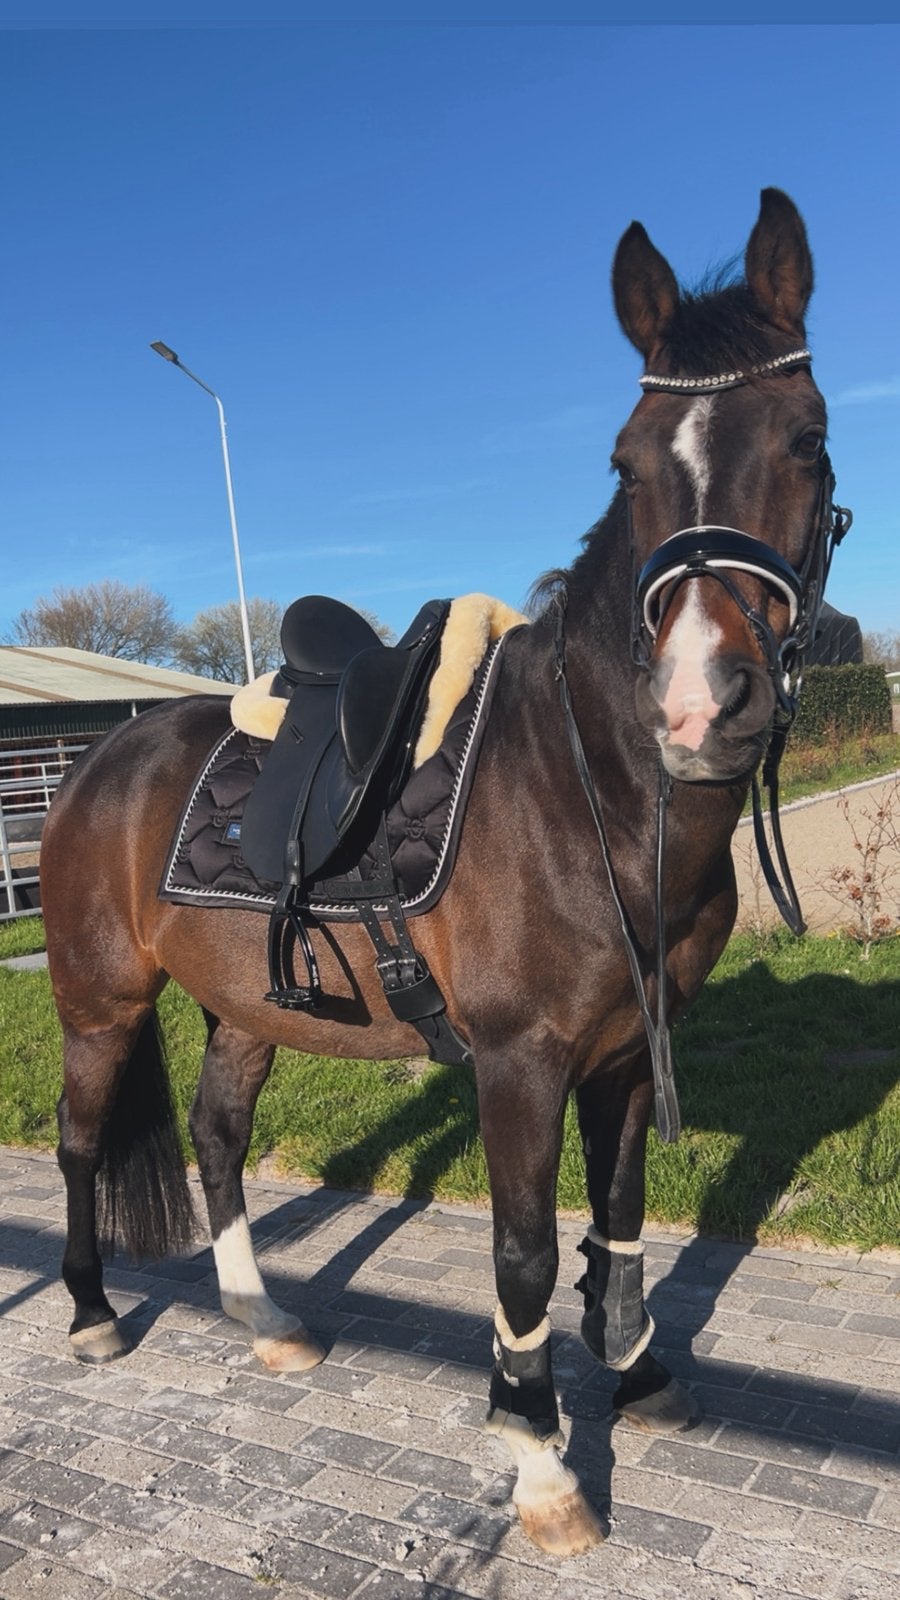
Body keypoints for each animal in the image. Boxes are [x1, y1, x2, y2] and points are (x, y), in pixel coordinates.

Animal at [41, 187, 847, 1560]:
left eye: (808, 438)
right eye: (627, 464)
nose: (700, 706)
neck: (588, 791)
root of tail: (102, 760)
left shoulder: (631, 1053)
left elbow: (619, 1218)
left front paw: (637, 1375)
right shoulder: (521, 1062)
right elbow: (524, 1252)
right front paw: (540, 1461)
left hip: (248, 1006)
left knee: (215, 1132)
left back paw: (264, 1320)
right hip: (102, 1004)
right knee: (82, 1139)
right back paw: (94, 1316)